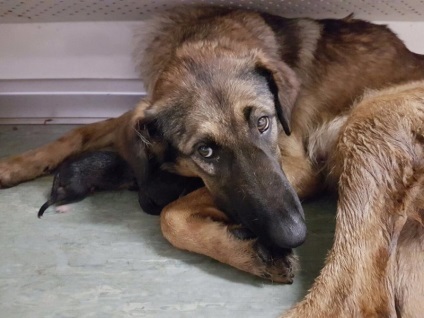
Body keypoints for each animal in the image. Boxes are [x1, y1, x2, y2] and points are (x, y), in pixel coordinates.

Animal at [0, 6, 424, 316]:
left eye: (263, 122)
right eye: (205, 151)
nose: (293, 235)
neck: (208, 37)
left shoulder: (299, 168)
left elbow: (171, 215)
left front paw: (248, 251)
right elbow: (81, 132)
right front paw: (14, 165)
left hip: (367, 120)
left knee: (353, 300)